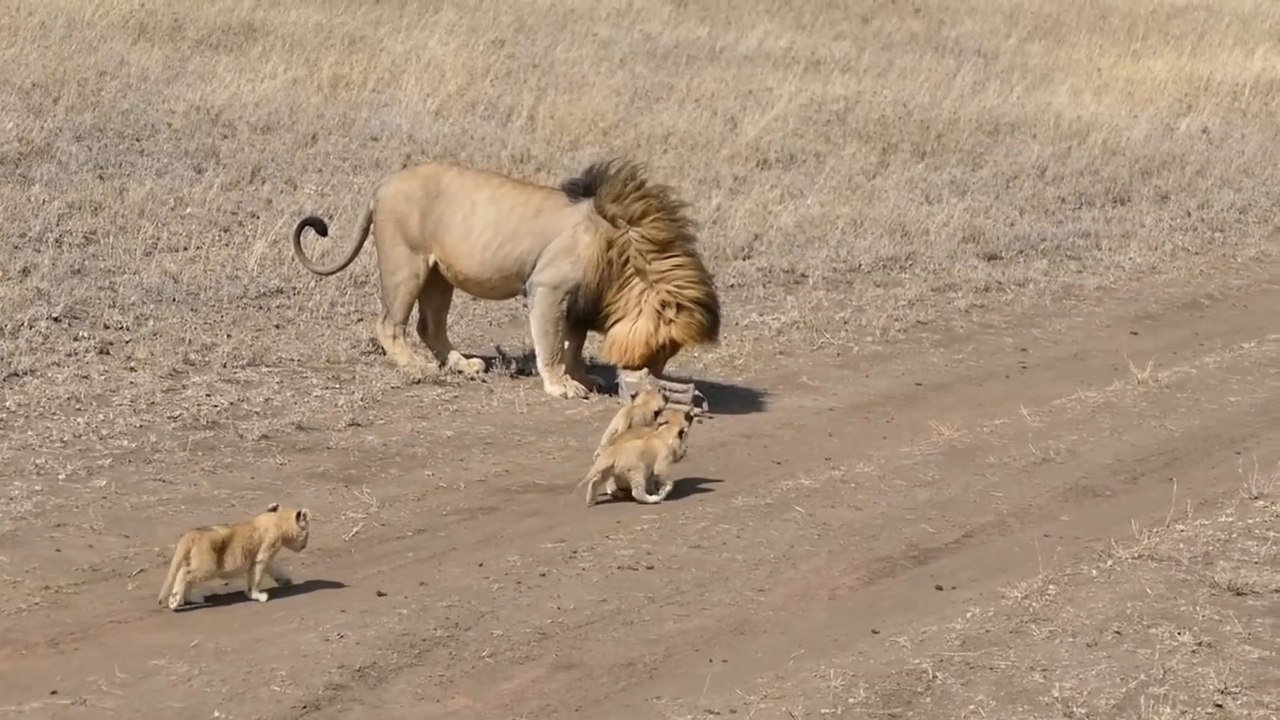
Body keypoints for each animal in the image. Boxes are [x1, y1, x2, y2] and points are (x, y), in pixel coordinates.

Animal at [157, 502, 311, 610]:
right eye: (308, 534)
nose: (305, 545)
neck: (277, 520)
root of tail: (191, 535)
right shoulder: (264, 552)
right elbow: (257, 575)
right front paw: (257, 595)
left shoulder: (267, 555)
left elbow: (274, 568)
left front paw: (286, 581)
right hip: (209, 566)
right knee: (184, 573)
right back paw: (174, 600)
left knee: (188, 576)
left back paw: (193, 599)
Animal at [291, 158, 720, 400]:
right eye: (664, 347)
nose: (655, 378)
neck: (625, 249)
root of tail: (382, 186)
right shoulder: (548, 288)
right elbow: (552, 344)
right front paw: (561, 385)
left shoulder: (580, 300)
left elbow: (574, 343)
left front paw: (582, 376)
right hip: (406, 264)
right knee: (389, 324)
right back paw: (415, 367)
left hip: (439, 276)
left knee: (430, 326)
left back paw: (462, 365)